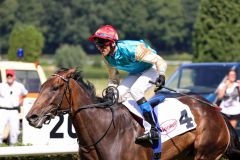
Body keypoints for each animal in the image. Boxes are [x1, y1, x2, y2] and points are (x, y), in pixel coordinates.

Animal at [25, 68, 240, 159]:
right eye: (41, 87)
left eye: (55, 88)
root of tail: (215, 110)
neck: (104, 131)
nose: (31, 117)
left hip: (206, 153)